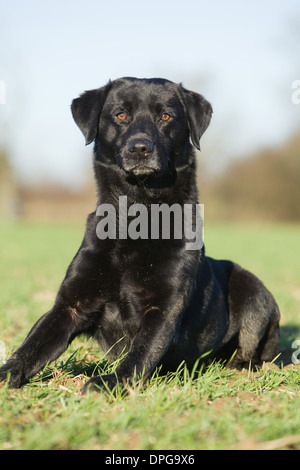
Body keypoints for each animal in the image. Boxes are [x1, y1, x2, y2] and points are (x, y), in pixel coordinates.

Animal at [0, 78, 282, 392]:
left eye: (166, 116)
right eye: (121, 114)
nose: (140, 148)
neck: (136, 216)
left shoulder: (163, 309)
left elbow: (141, 351)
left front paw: (110, 382)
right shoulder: (70, 306)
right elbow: (30, 348)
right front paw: (6, 373)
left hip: (254, 293)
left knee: (253, 350)